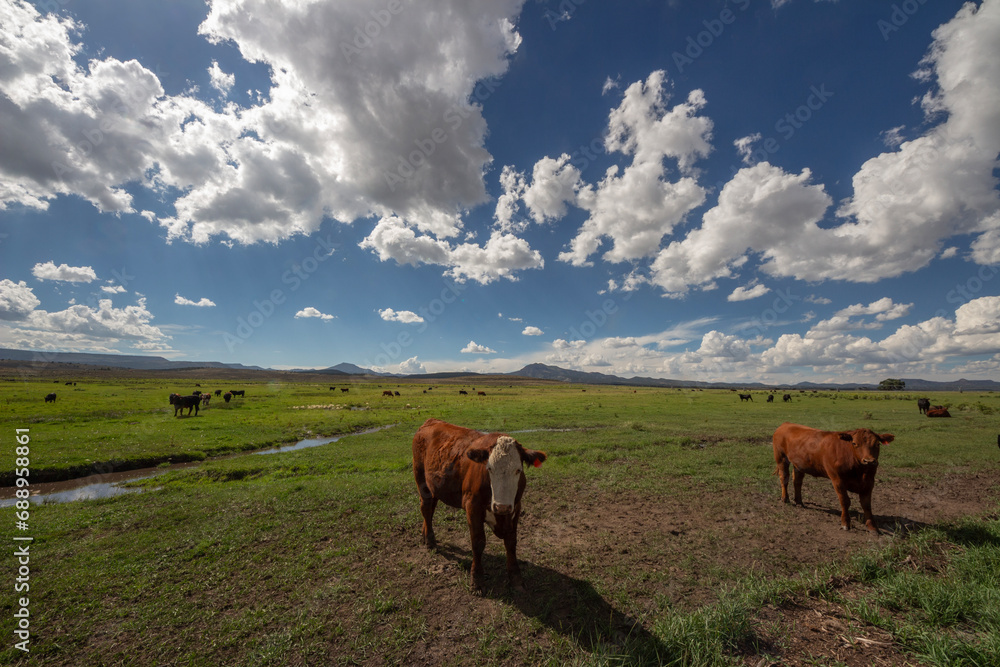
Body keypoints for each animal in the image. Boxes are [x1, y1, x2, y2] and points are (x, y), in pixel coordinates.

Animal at [412, 419, 546, 592]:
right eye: (489, 469)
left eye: (518, 470)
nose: (502, 507)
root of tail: (431, 421)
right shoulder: (472, 507)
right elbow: (478, 542)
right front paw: (477, 580)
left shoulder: (516, 507)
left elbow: (511, 542)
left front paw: (516, 577)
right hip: (422, 481)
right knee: (426, 509)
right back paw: (430, 541)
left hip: (434, 487)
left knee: (430, 510)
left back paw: (425, 536)